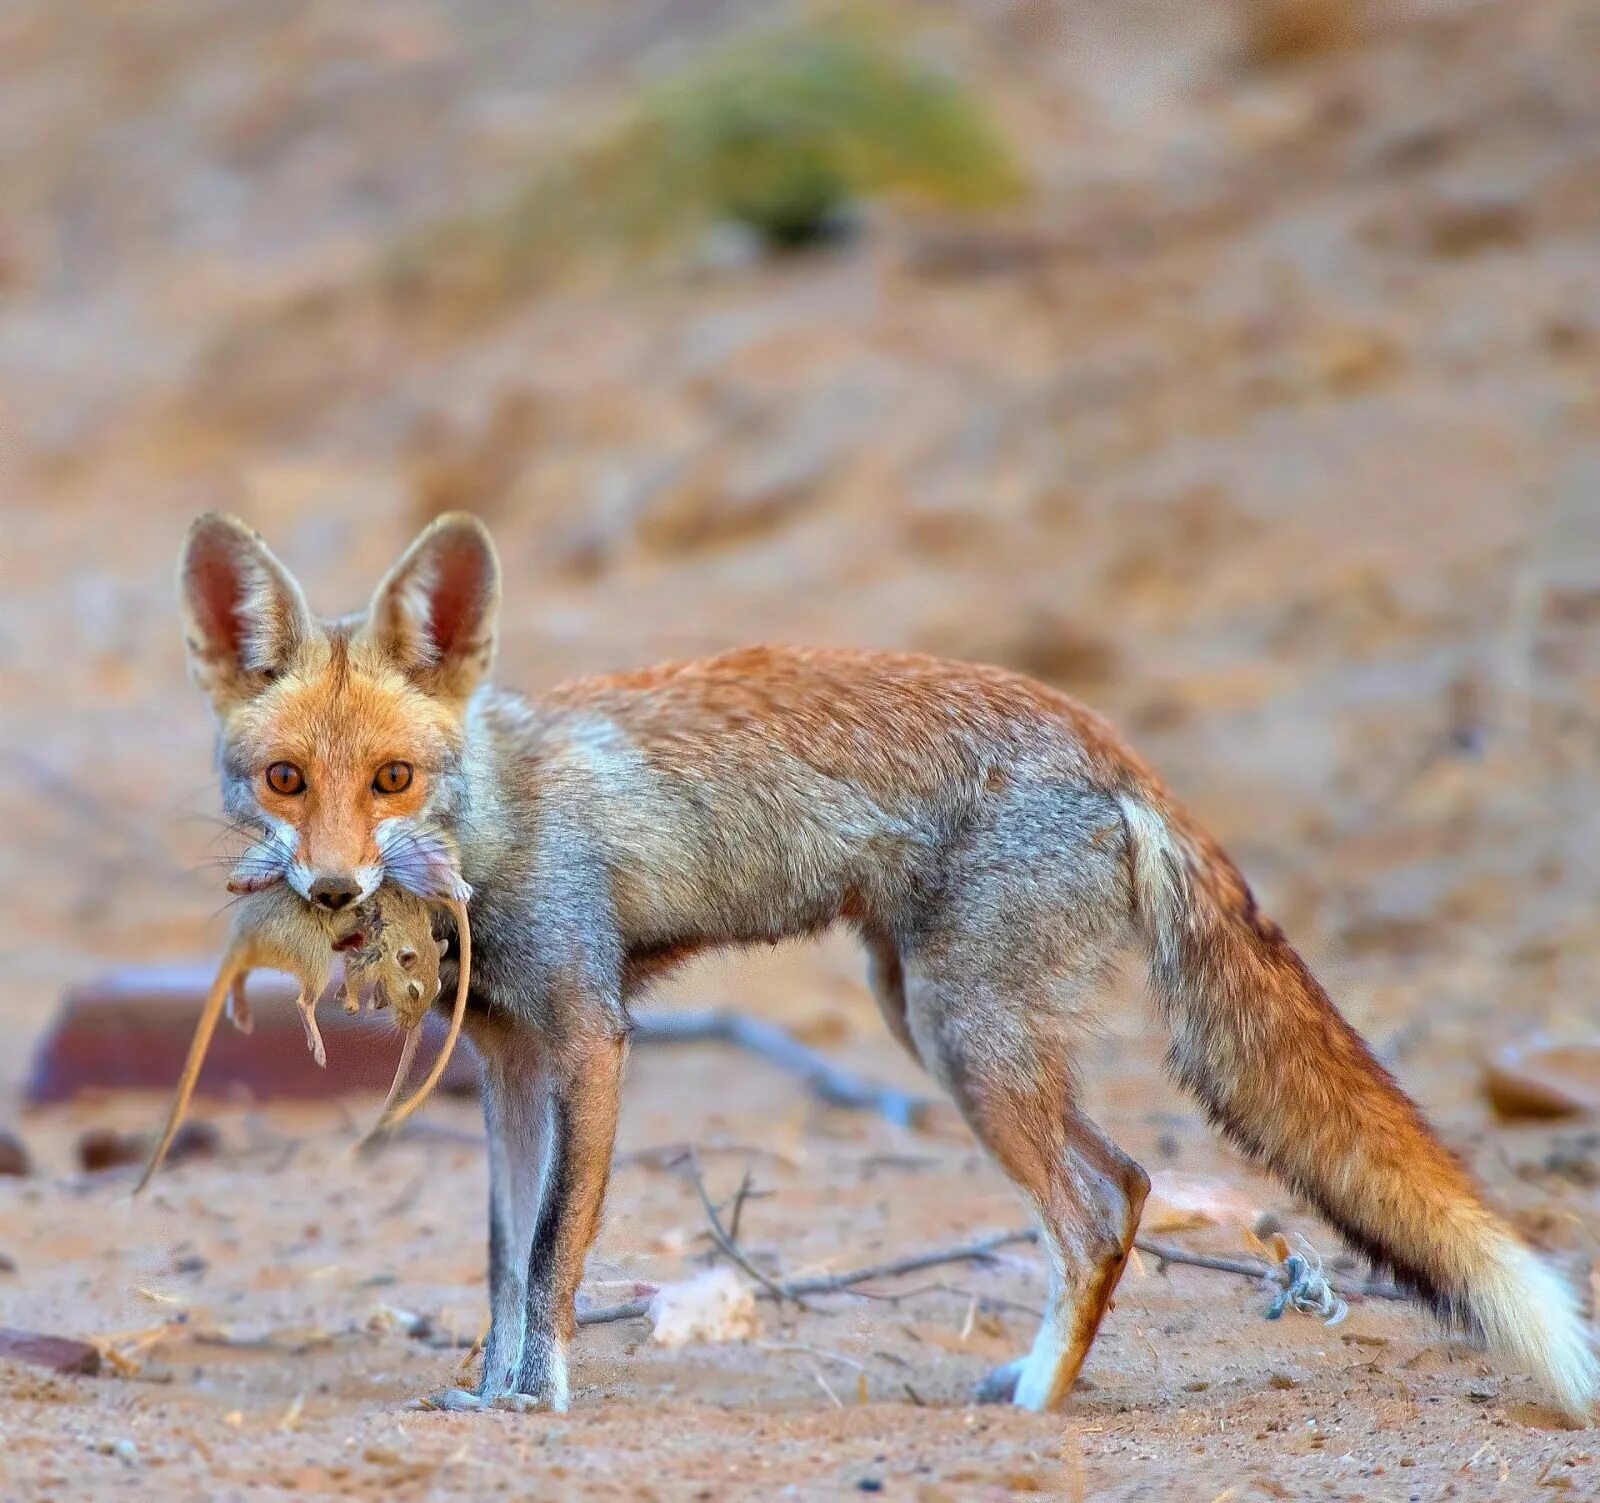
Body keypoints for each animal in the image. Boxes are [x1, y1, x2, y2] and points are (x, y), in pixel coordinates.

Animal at [172, 512, 1587, 1414]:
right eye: (286, 781)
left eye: (393, 780)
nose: (333, 889)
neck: (504, 822)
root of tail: (1109, 741)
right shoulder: (509, 1068)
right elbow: (499, 1263)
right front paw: (482, 1392)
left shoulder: (590, 1038)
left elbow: (554, 1256)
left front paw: (539, 1402)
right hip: (937, 1023)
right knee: (1129, 1185)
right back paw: (1035, 1381)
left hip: (963, 1038)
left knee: (1088, 1213)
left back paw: (1034, 1411)